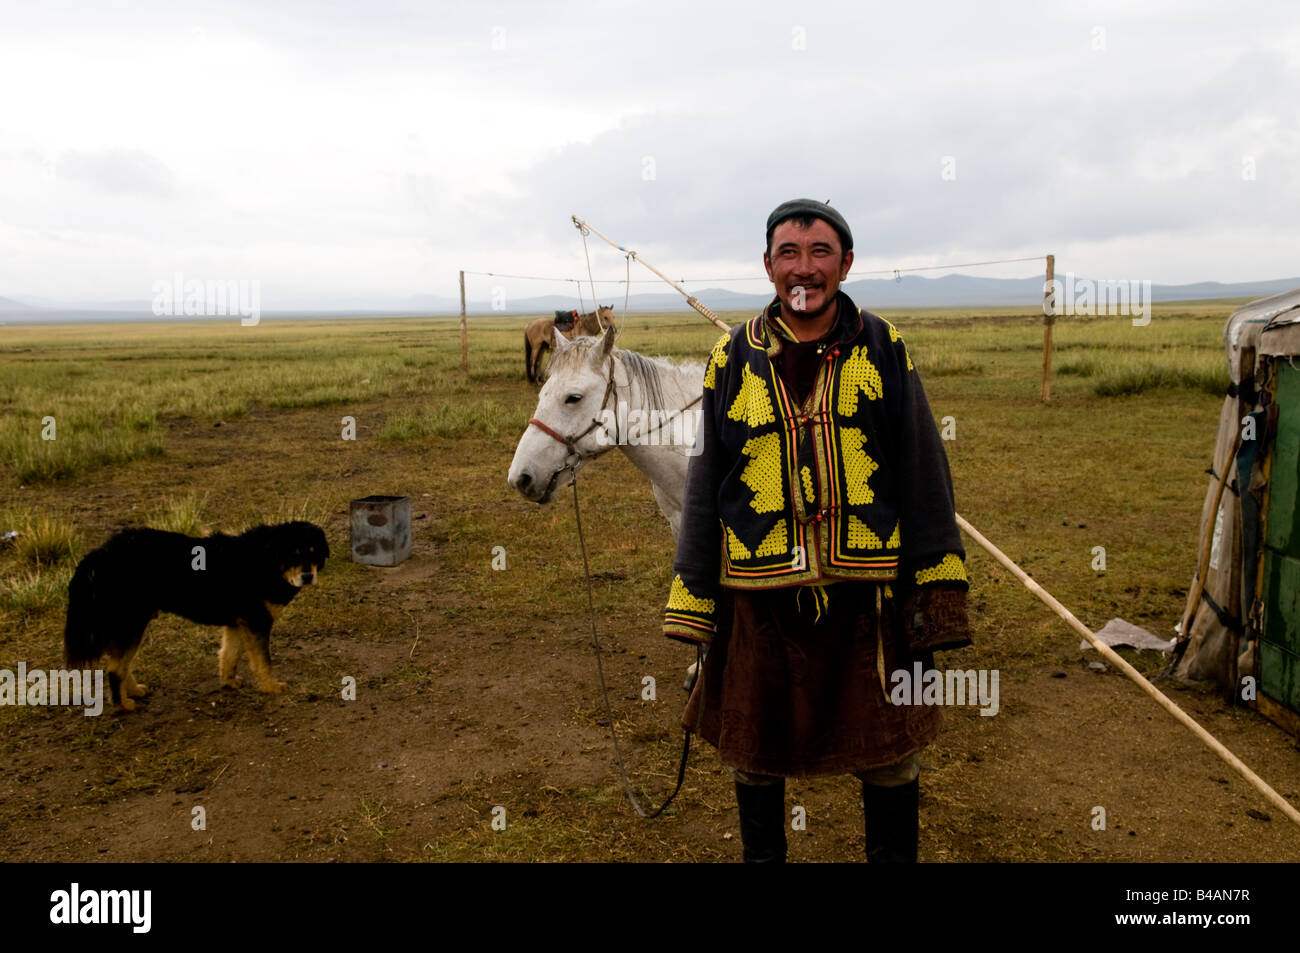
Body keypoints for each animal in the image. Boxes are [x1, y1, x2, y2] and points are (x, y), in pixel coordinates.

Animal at [65, 520, 330, 707]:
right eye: (294, 553)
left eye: (313, 551)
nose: (308, 576)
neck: (266, 559)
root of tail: (98, 553)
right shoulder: (257, 622)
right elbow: (263, 662)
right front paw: (271, 687)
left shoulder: (238, 623)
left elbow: (229, 655)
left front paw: (229, 682)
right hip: (131, 624)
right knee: (115, 668)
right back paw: (123, 705)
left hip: (126, 625)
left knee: (119, 663)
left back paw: (133, 691)